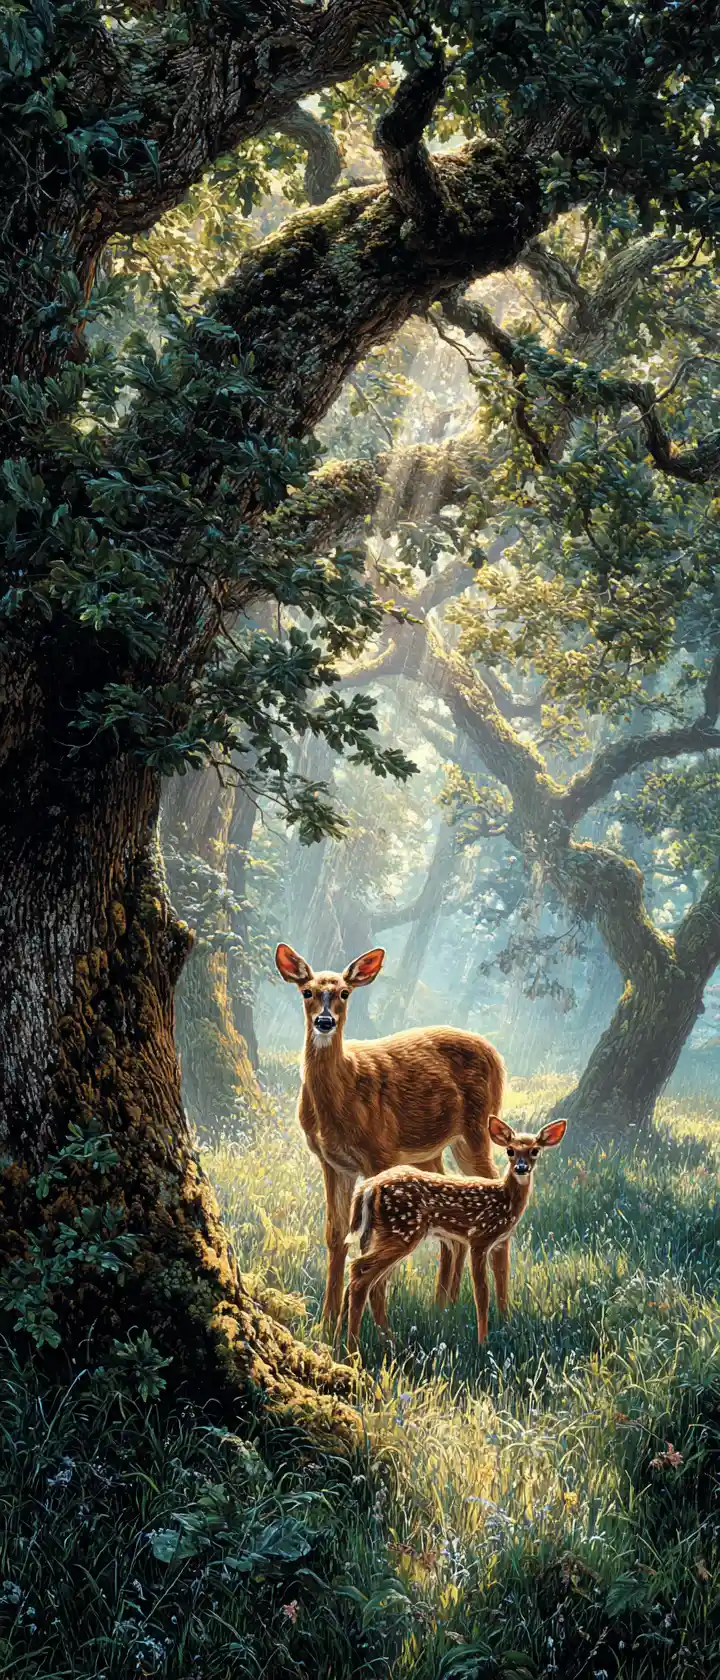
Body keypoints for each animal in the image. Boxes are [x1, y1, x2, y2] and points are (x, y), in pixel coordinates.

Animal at [275, 941, 506, 1334]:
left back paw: (501, 1311)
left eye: (344, 993)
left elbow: (368, 1241)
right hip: (428, 1153)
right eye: (307, 992)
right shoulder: (332, 1162)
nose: (325, 1021)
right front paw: (327, 1324)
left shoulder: (379, 1152)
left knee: (493, 1187)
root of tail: (495, 1053)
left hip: (476, 1130)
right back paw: (442, 1307)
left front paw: (377, 1329)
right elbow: (336, 1234)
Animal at [343, 1116, 567, 1351]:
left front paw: (507, 1329)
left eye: (535, 1150)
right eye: (510, 1150)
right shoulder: (479, 1238)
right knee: (359, 1272)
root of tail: (368, 1186)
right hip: (402, 1230)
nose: (521, 1168)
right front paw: (483, 1342)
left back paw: (387, 1343)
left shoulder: (499, 1242)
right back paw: (354, 1349)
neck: (505, 1199)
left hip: (382, 1234)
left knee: (375, 1283)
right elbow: (482, 1293)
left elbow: (502, 1286)